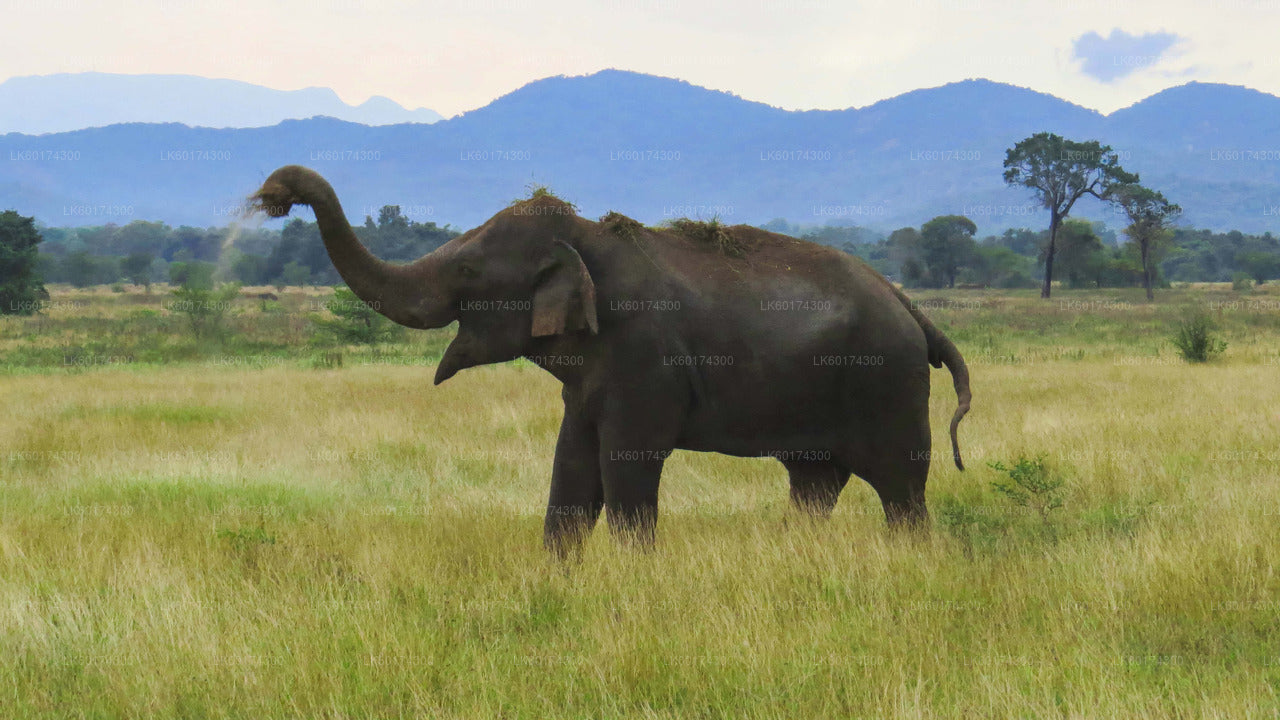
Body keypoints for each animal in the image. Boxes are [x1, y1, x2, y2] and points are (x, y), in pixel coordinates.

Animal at [249, 166, 967, 556]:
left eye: (469, 269)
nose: (277, 192)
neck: (589, 239)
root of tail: (913, 308)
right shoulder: (589, 382)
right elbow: (570, 472)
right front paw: (554, 582)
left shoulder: (644, 361)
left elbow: (626, 473)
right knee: (815, 483)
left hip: (891, 385)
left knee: (902, 490)